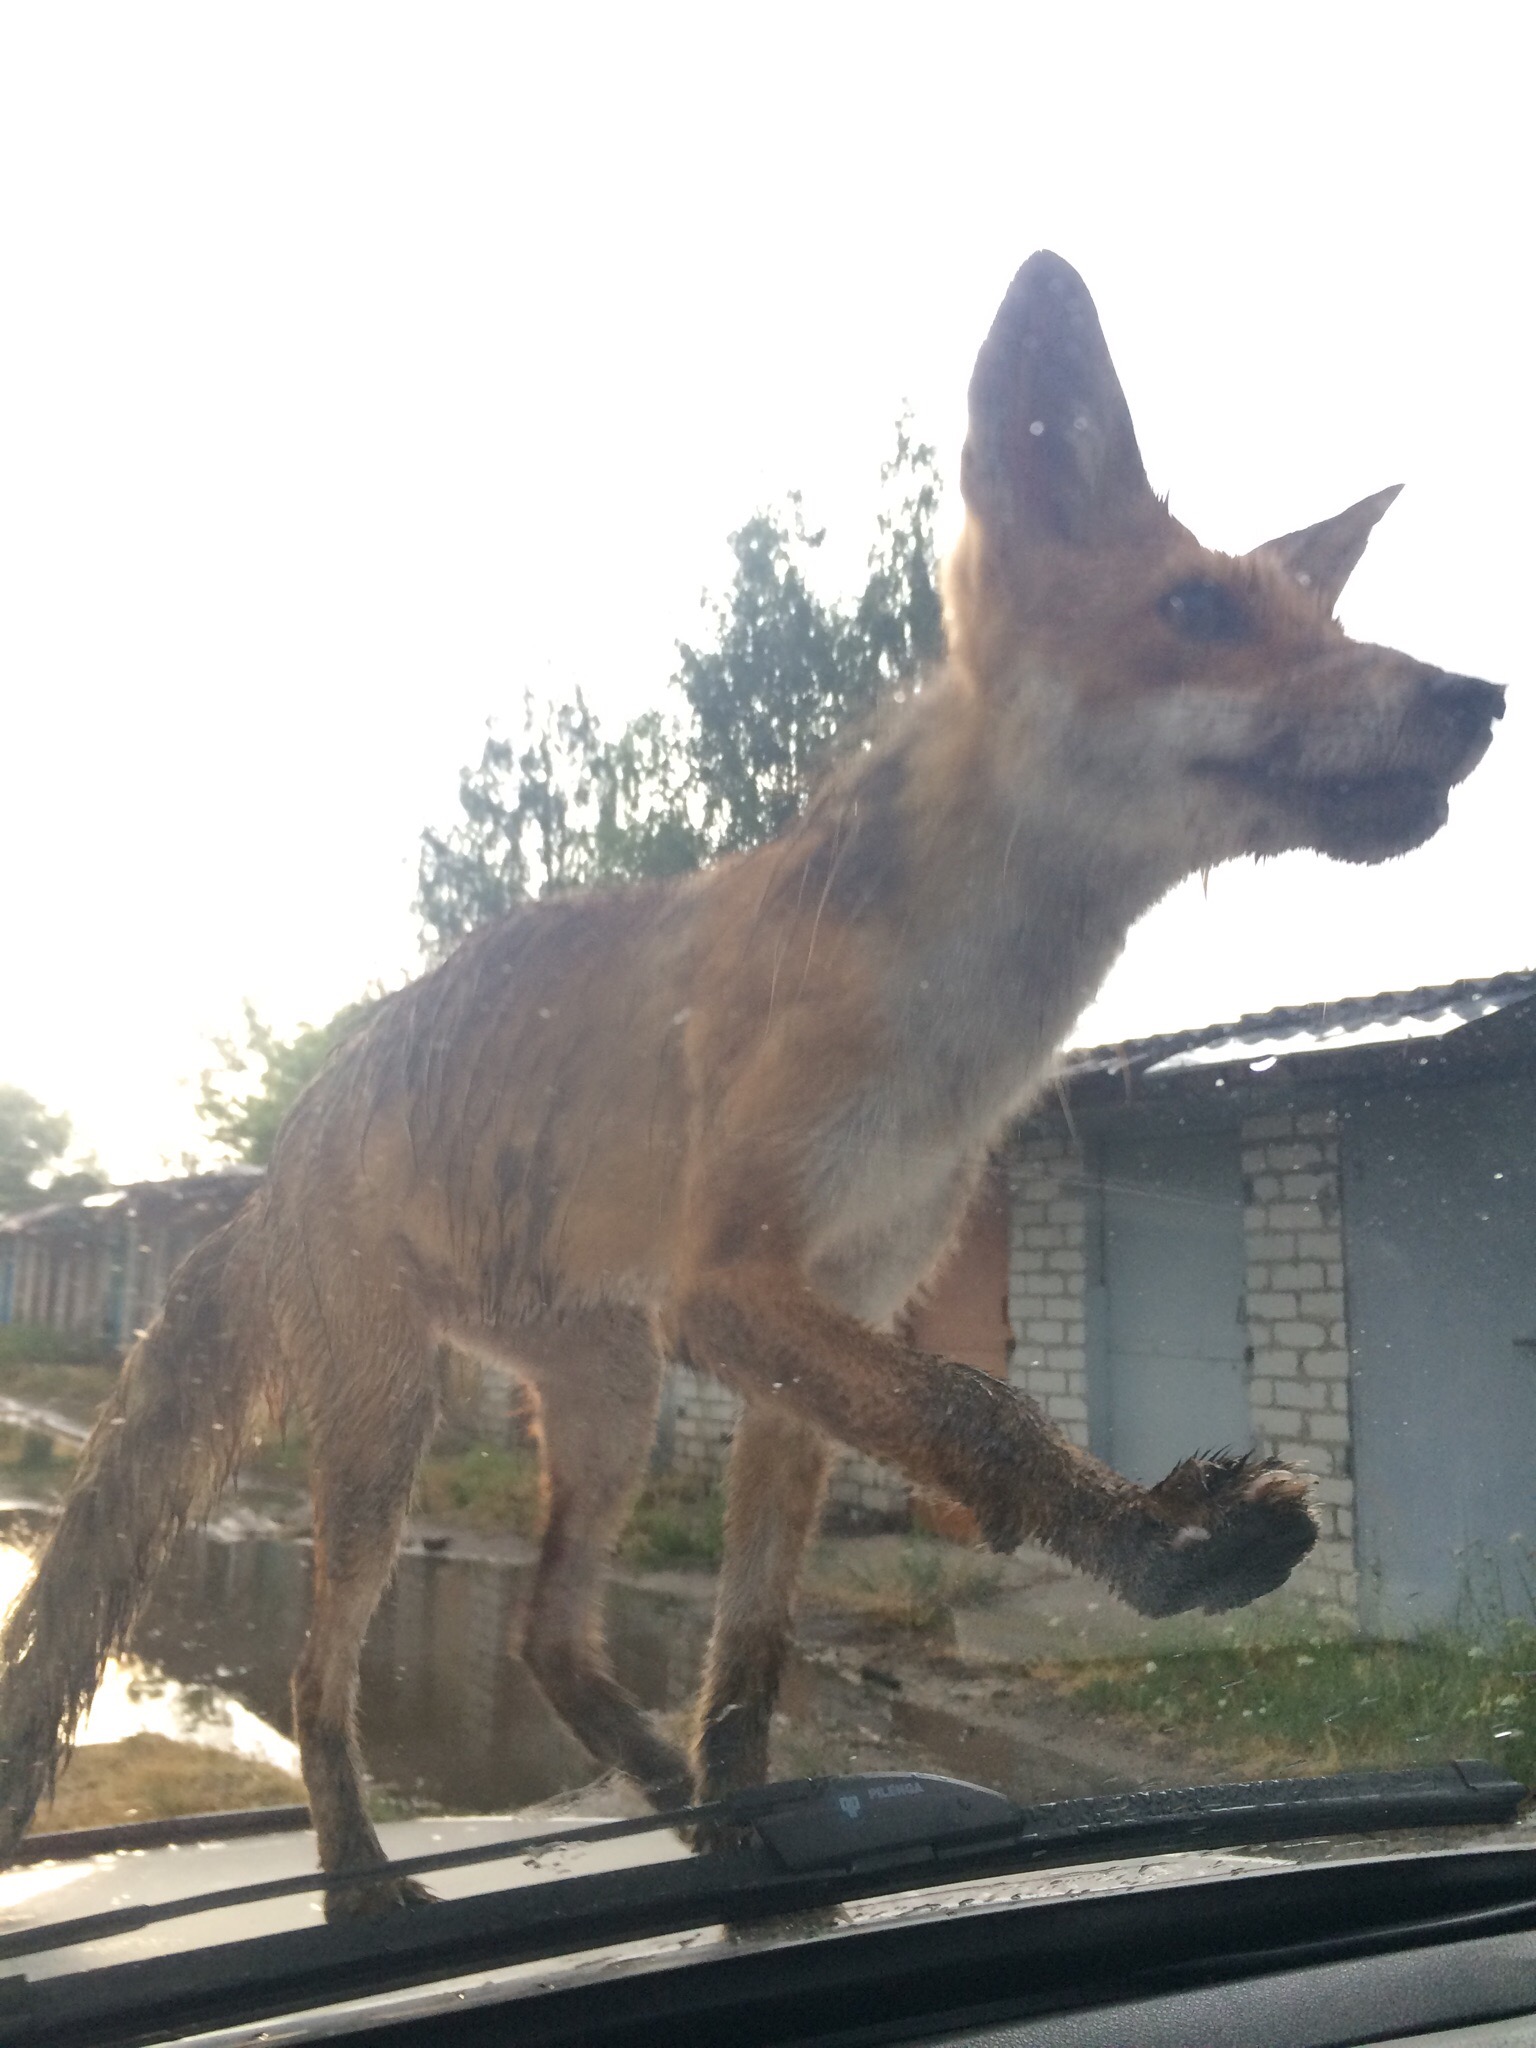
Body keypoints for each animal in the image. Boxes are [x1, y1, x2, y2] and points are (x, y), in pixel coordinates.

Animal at [0, 251, 1507, 1900]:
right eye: (1197, 609)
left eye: (1321, 621)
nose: (1478, 695)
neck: (954, 1037)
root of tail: (273, 1167)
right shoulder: (730, 1286)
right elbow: (980, 1409)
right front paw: (1162, 1546)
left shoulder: (832, 1304)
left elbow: (756, 1652)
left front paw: (756, 1836)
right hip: (407, 1428)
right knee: (317, 1671)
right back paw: (364, 1884)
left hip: (608, 1393)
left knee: (545, 1634)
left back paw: (682, 1809)